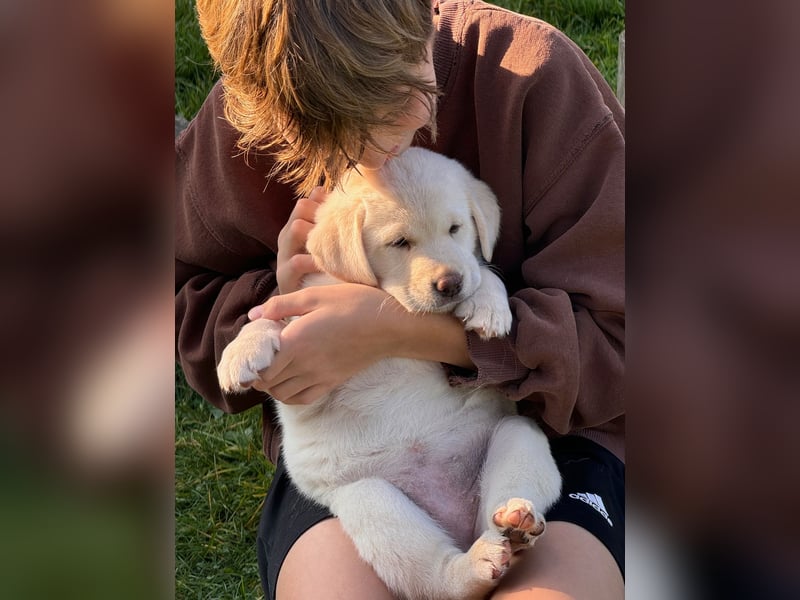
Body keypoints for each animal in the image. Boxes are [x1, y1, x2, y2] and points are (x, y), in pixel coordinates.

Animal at [216, 148, 560, 600]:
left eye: (456, 228)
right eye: (399, 243)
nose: (450, 285)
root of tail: (459, 527)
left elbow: (483, 270)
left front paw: (488, 307)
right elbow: (271, 318)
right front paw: (240, 352)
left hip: (518, 434)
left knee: (492, 524)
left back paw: (515, 526)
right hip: (370, 501)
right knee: (437, 578)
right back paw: (477, 562)